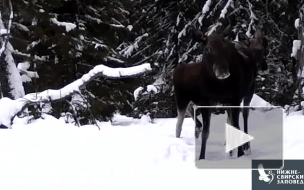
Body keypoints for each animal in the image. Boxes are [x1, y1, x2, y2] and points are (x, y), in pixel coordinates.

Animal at [172, 24, 268, 160]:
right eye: (208, 48)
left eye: (225, 47)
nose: (222, 71)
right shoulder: (209, 101)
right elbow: (208, 131)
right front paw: (202, 157)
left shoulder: (234, 99)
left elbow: (235, 125)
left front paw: (239, 152)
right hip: (183, 98)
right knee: (180, 123)